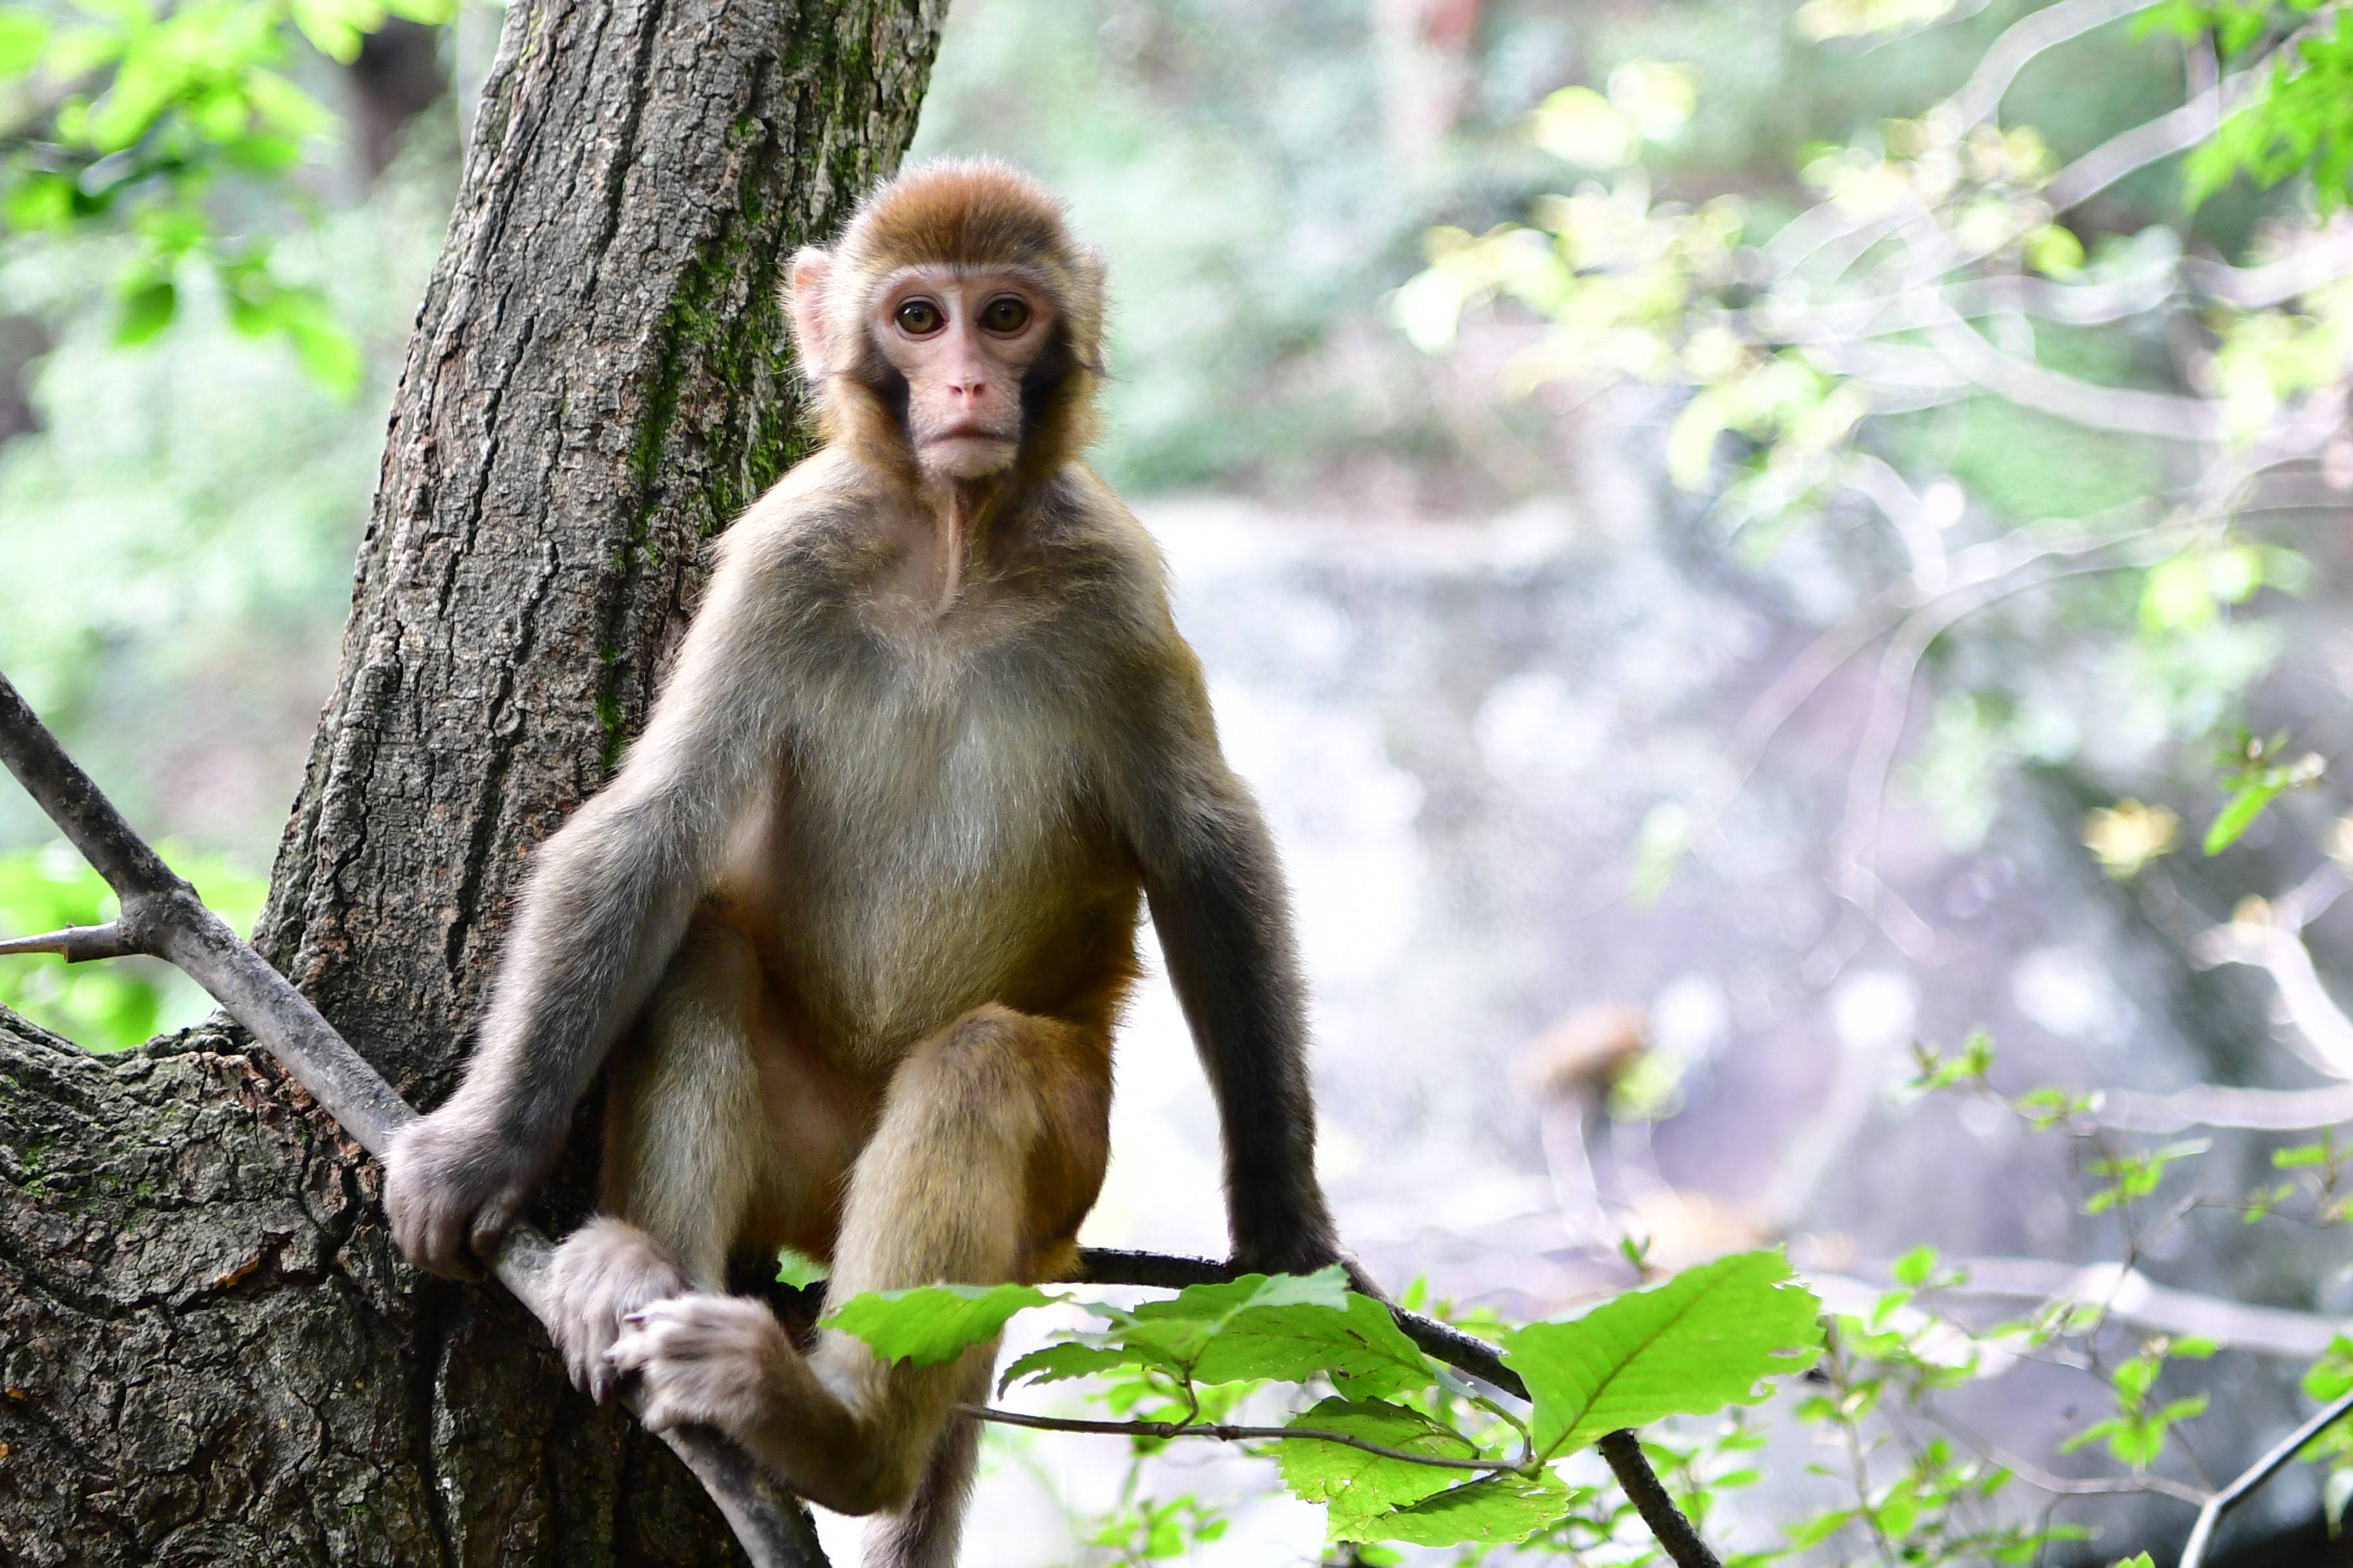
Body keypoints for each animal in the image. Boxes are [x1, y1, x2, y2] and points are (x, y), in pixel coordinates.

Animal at [376, 162, 1355, 1568]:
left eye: (1004, 314)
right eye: (915, 316)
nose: (967, 385)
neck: (951, 542)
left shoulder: (1112, 575)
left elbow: (1206, 855)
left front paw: (1284, 1220)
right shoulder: (788, 546)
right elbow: (658, 823)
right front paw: (480, 1149)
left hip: (1058, 1183)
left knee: (984, 1065)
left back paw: (831, 1430)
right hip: (799, 1161)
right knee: (703, 948)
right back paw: (641, 1282)